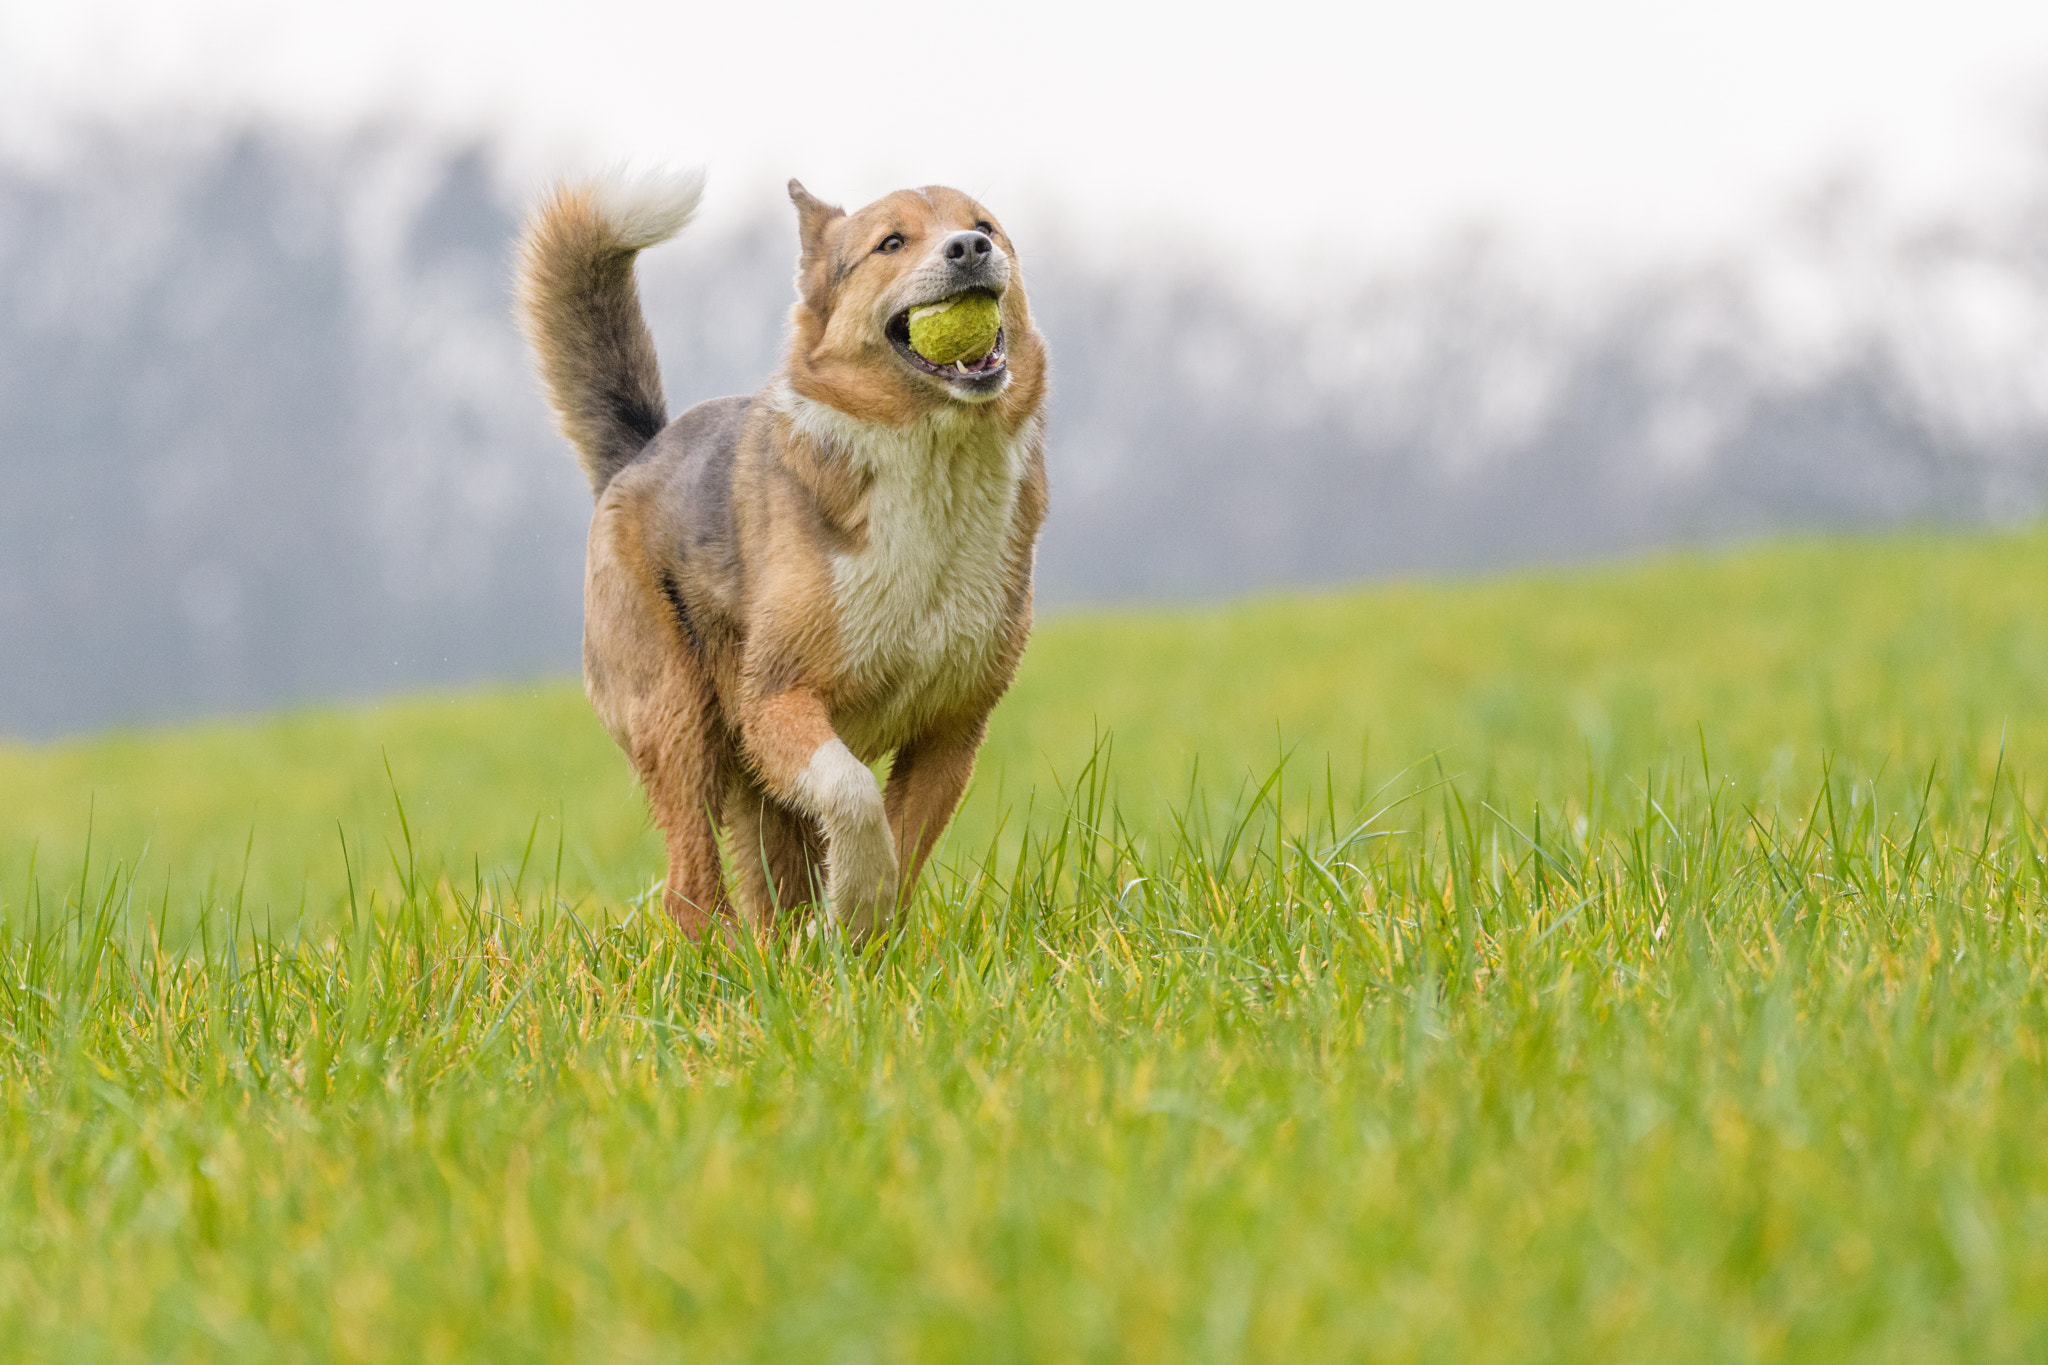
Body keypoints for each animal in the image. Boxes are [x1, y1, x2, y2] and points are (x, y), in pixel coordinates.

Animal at [512, 170, 1056, 941]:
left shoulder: (953, 728)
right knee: (690, 884)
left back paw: (780, 954)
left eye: (987, 225)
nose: (970, 248)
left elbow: (903, 840)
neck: (934, 455)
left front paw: (869, 930)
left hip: (753, 785)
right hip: (679, 717)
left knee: (766, 883)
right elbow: (853, 792)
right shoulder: (774, 701)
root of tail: (638, 454)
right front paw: (855, 902)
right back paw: (722, 957)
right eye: (891, 242)